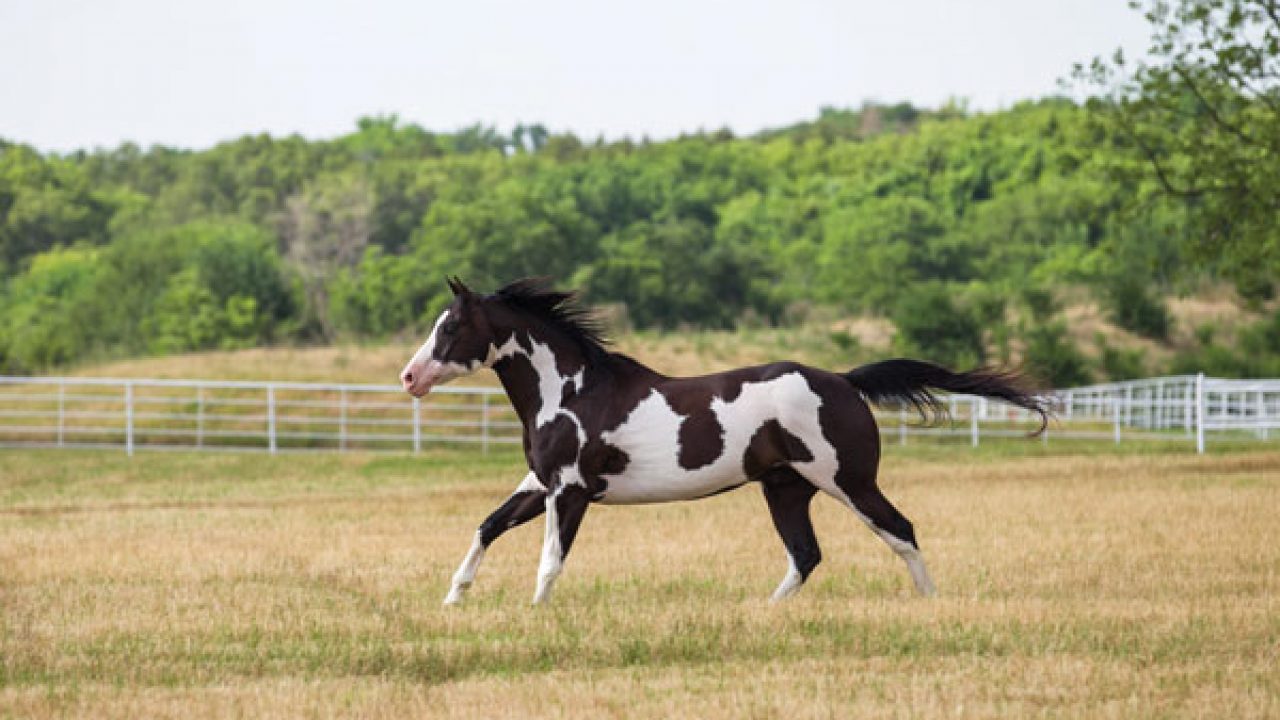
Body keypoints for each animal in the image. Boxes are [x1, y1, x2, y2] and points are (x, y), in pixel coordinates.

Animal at [399, 278, 1049, 602]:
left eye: (451, 328)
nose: (410, 377)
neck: (572, 392)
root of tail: (844, 381)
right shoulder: (541, 484)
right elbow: (487, 526)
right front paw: (454, 599)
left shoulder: (571, 491)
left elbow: (549, 562)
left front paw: (535, 616)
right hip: (786, 488)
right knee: (806, 555)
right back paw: (765, 614)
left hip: (846, 480)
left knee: (900, 531)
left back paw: (930, 605)